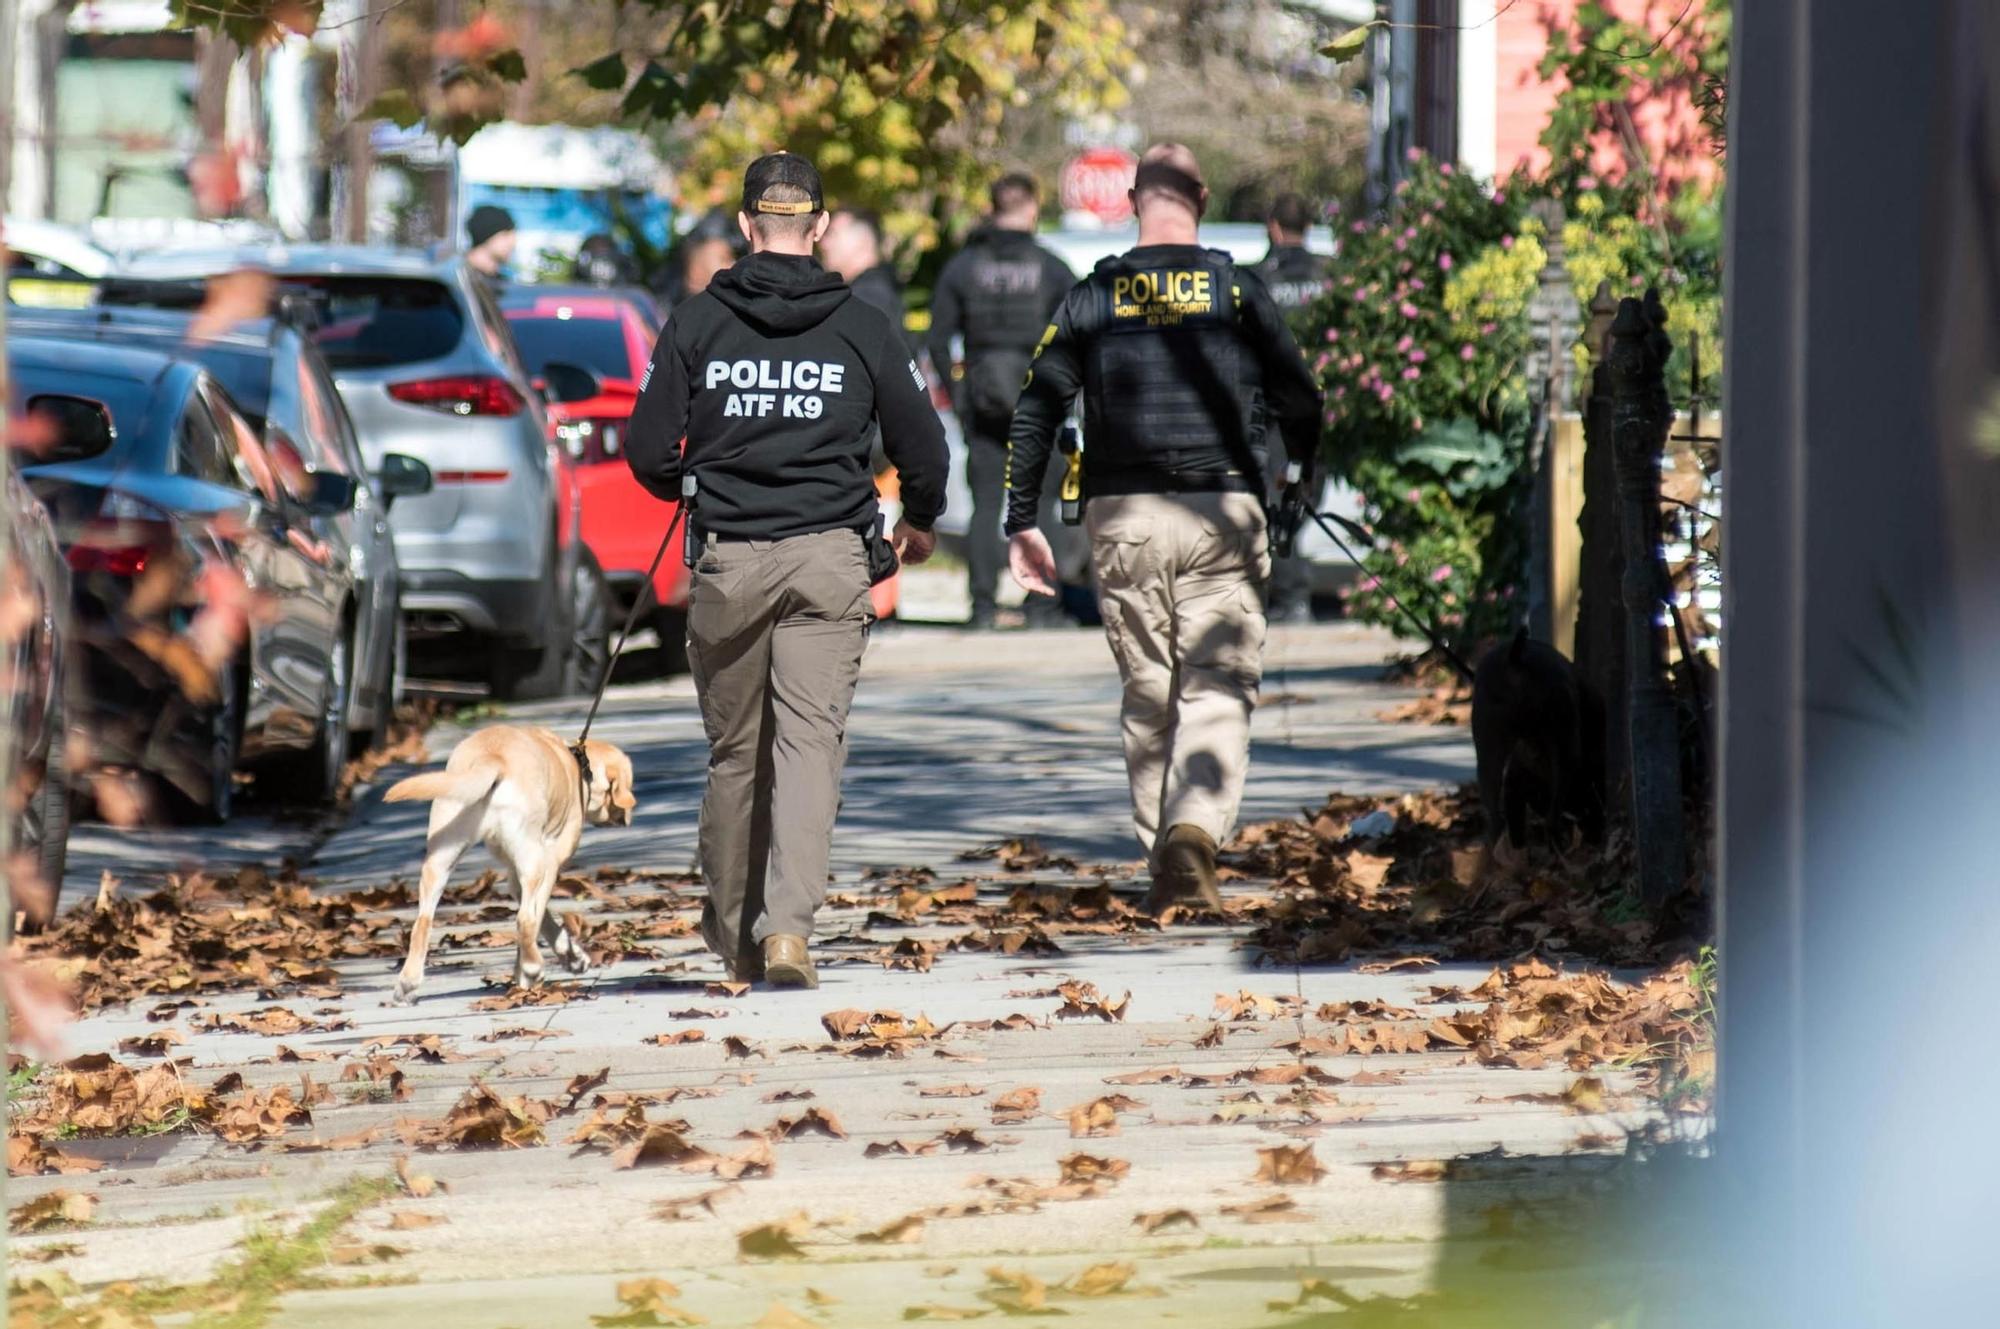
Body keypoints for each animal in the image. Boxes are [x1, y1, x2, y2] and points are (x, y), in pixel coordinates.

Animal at [386, 728, 636, 1008]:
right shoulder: (549, 863)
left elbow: (543, 918)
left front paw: (571, 956)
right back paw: (532, 967)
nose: (628, 817)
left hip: (440, 858)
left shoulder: (516, 878)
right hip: (535, 862)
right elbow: (536, 919)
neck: (580, 766)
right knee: (524, 919)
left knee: (422, 923)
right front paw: (528, 972)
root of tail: (492, 758)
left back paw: (407, 984)